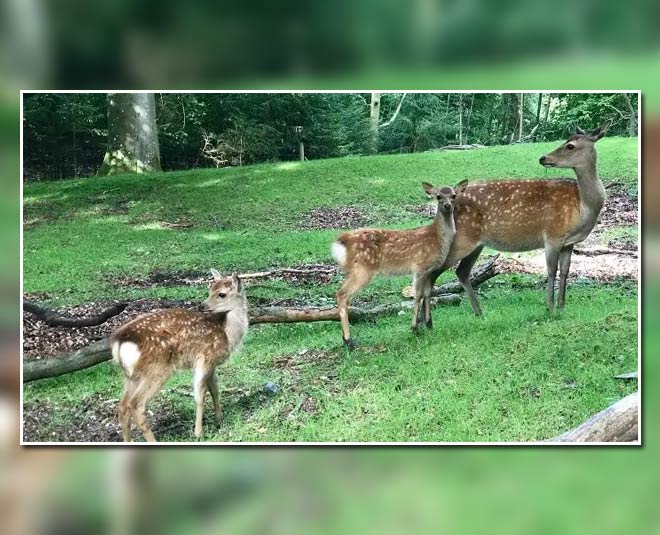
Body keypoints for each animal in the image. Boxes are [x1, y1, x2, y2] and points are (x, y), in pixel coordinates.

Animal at [110, 271, 248, 442]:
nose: (202, 306)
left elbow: (215, 389)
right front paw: (199, 432)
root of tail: (119, 343)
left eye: (221, 294)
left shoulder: (212, 363)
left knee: (123, 405)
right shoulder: (205, 356)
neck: (227, 334)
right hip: (157, 368)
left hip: (132, 375)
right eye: (210, 290)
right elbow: (200, 395)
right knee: (136, 404)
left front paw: (219, 421)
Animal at [331, 181, 466, 349]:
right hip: (362, 269)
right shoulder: (419, 266)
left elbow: (428, 293)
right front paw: (414, 328)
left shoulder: (429, 269)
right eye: (438, 196)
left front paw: (429, 324)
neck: (437, 239)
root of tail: (341, 242)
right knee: (342, 294)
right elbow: (417, 295)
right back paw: (349, 341)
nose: (447, 206)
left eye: (454, 195)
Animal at [421, 123, 609, 324]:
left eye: (570, 146)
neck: (583, 206)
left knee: (461, 271)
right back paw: (426, 321)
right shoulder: (552, 235)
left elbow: (565, 270)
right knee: (433, 273)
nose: (543, 158)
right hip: (461, 238)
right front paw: (550, 309)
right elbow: (551, 270)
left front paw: (561, 307)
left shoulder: (569, 242)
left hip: (476, 243)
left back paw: (479, 313)